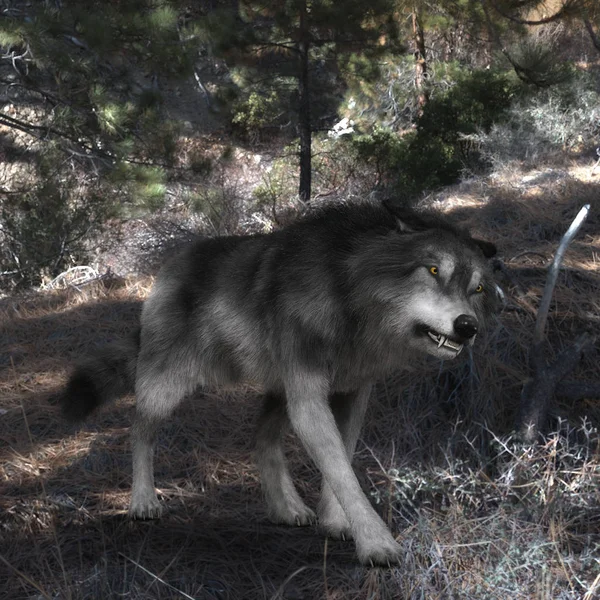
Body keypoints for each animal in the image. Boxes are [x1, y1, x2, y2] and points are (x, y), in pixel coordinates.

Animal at [57, 200, 496, 568]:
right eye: (434, 270)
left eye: (476, 288)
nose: (468, 327)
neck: (347, 293)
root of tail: (173, 262)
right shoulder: (309, 397)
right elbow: (343, 473)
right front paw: (376, 543)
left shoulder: (354, 392)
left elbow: (343, 460)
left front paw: (334, 522)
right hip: (169, 387)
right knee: (139, 431)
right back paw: (143, 501)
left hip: (277, 392)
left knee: (261, 438)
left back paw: (286, 509)